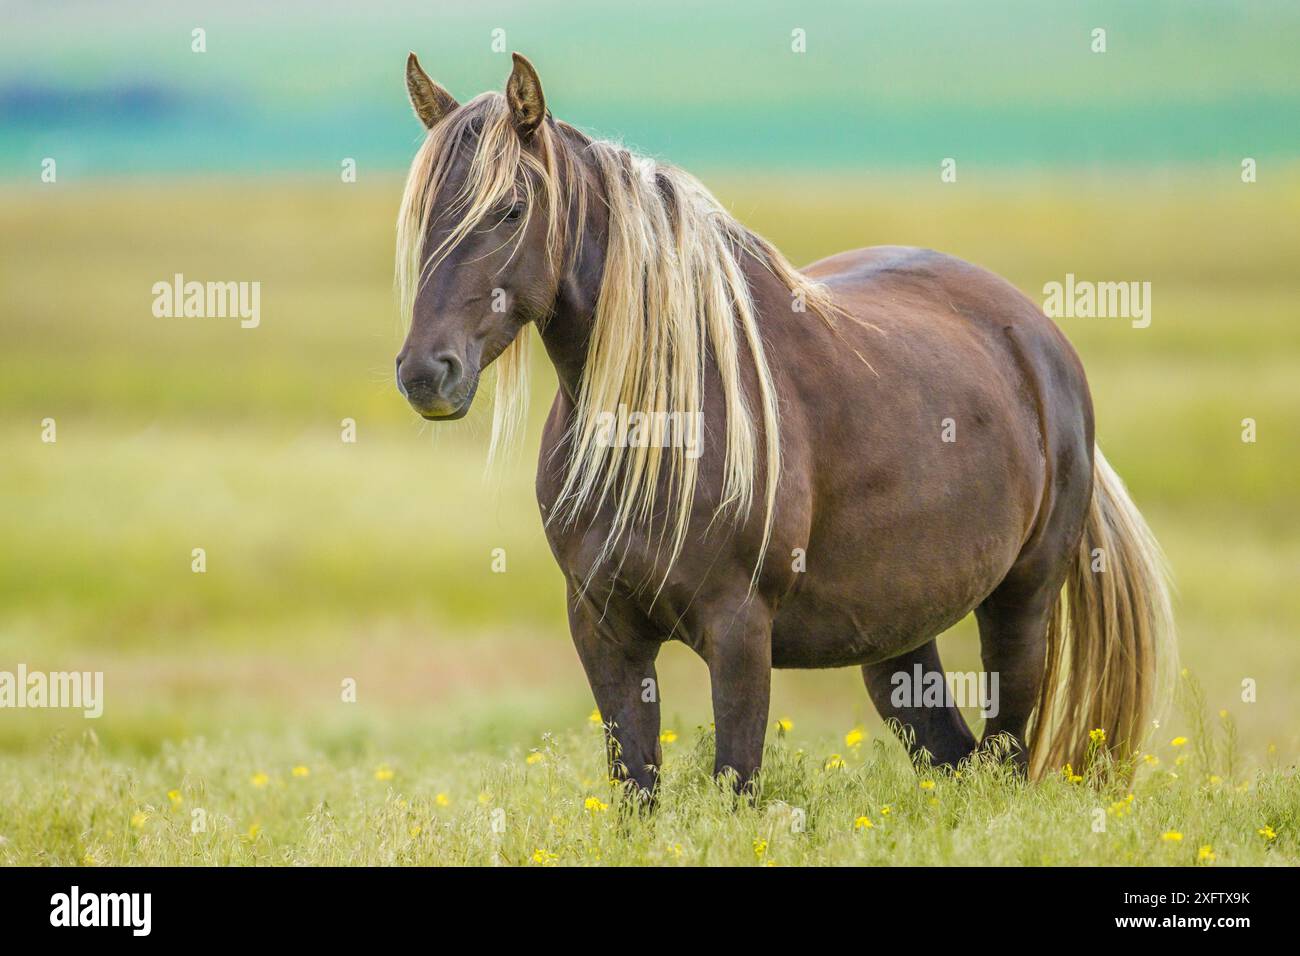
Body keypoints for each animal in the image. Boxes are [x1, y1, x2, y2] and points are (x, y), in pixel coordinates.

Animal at [390, 54, 1175, 801]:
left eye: (511, 209)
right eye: (424, 216)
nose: (427, 372)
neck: (656, 424)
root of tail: (1039, 338)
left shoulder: (739, 629)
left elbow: (736, 783)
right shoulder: (601, 628)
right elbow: (636, 790)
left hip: (1022, 603)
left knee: (1004, 758)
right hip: (898, 633)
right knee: (952, 758)